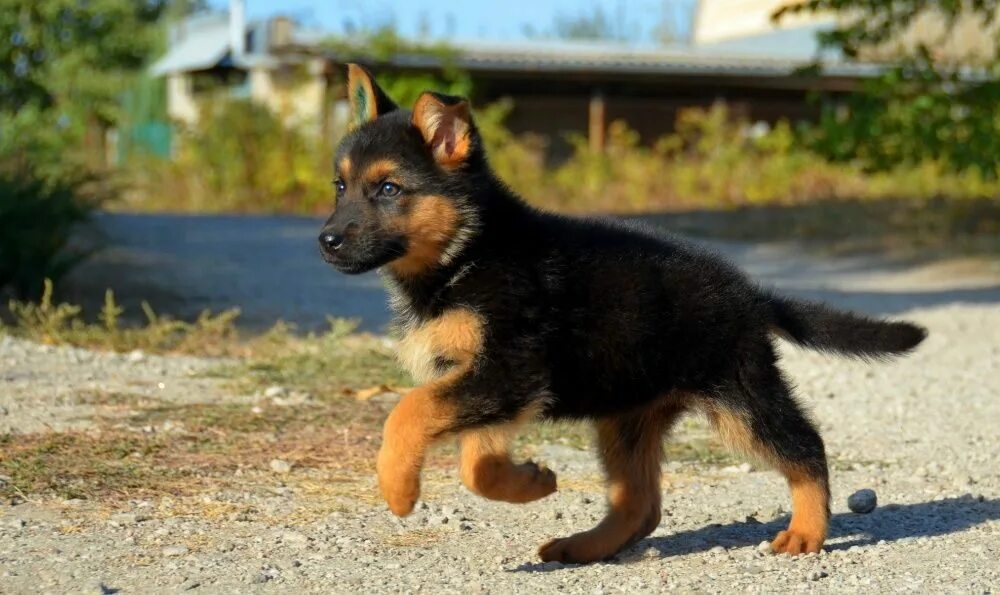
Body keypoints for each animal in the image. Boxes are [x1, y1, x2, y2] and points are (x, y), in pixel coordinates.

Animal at [320, 65, 928, 564]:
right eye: (340, 186)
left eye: (389, 189)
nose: (325, 242)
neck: (466, 254)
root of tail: (751, 293)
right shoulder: (491, 384)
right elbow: (475, 460)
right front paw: (530, 482)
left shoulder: (508, 370)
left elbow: (410, 411)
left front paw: (399, 489)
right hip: (627, 415)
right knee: (642, 504)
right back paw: (586, 546)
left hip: (741, 397)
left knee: (806, 448)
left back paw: (807, 531)